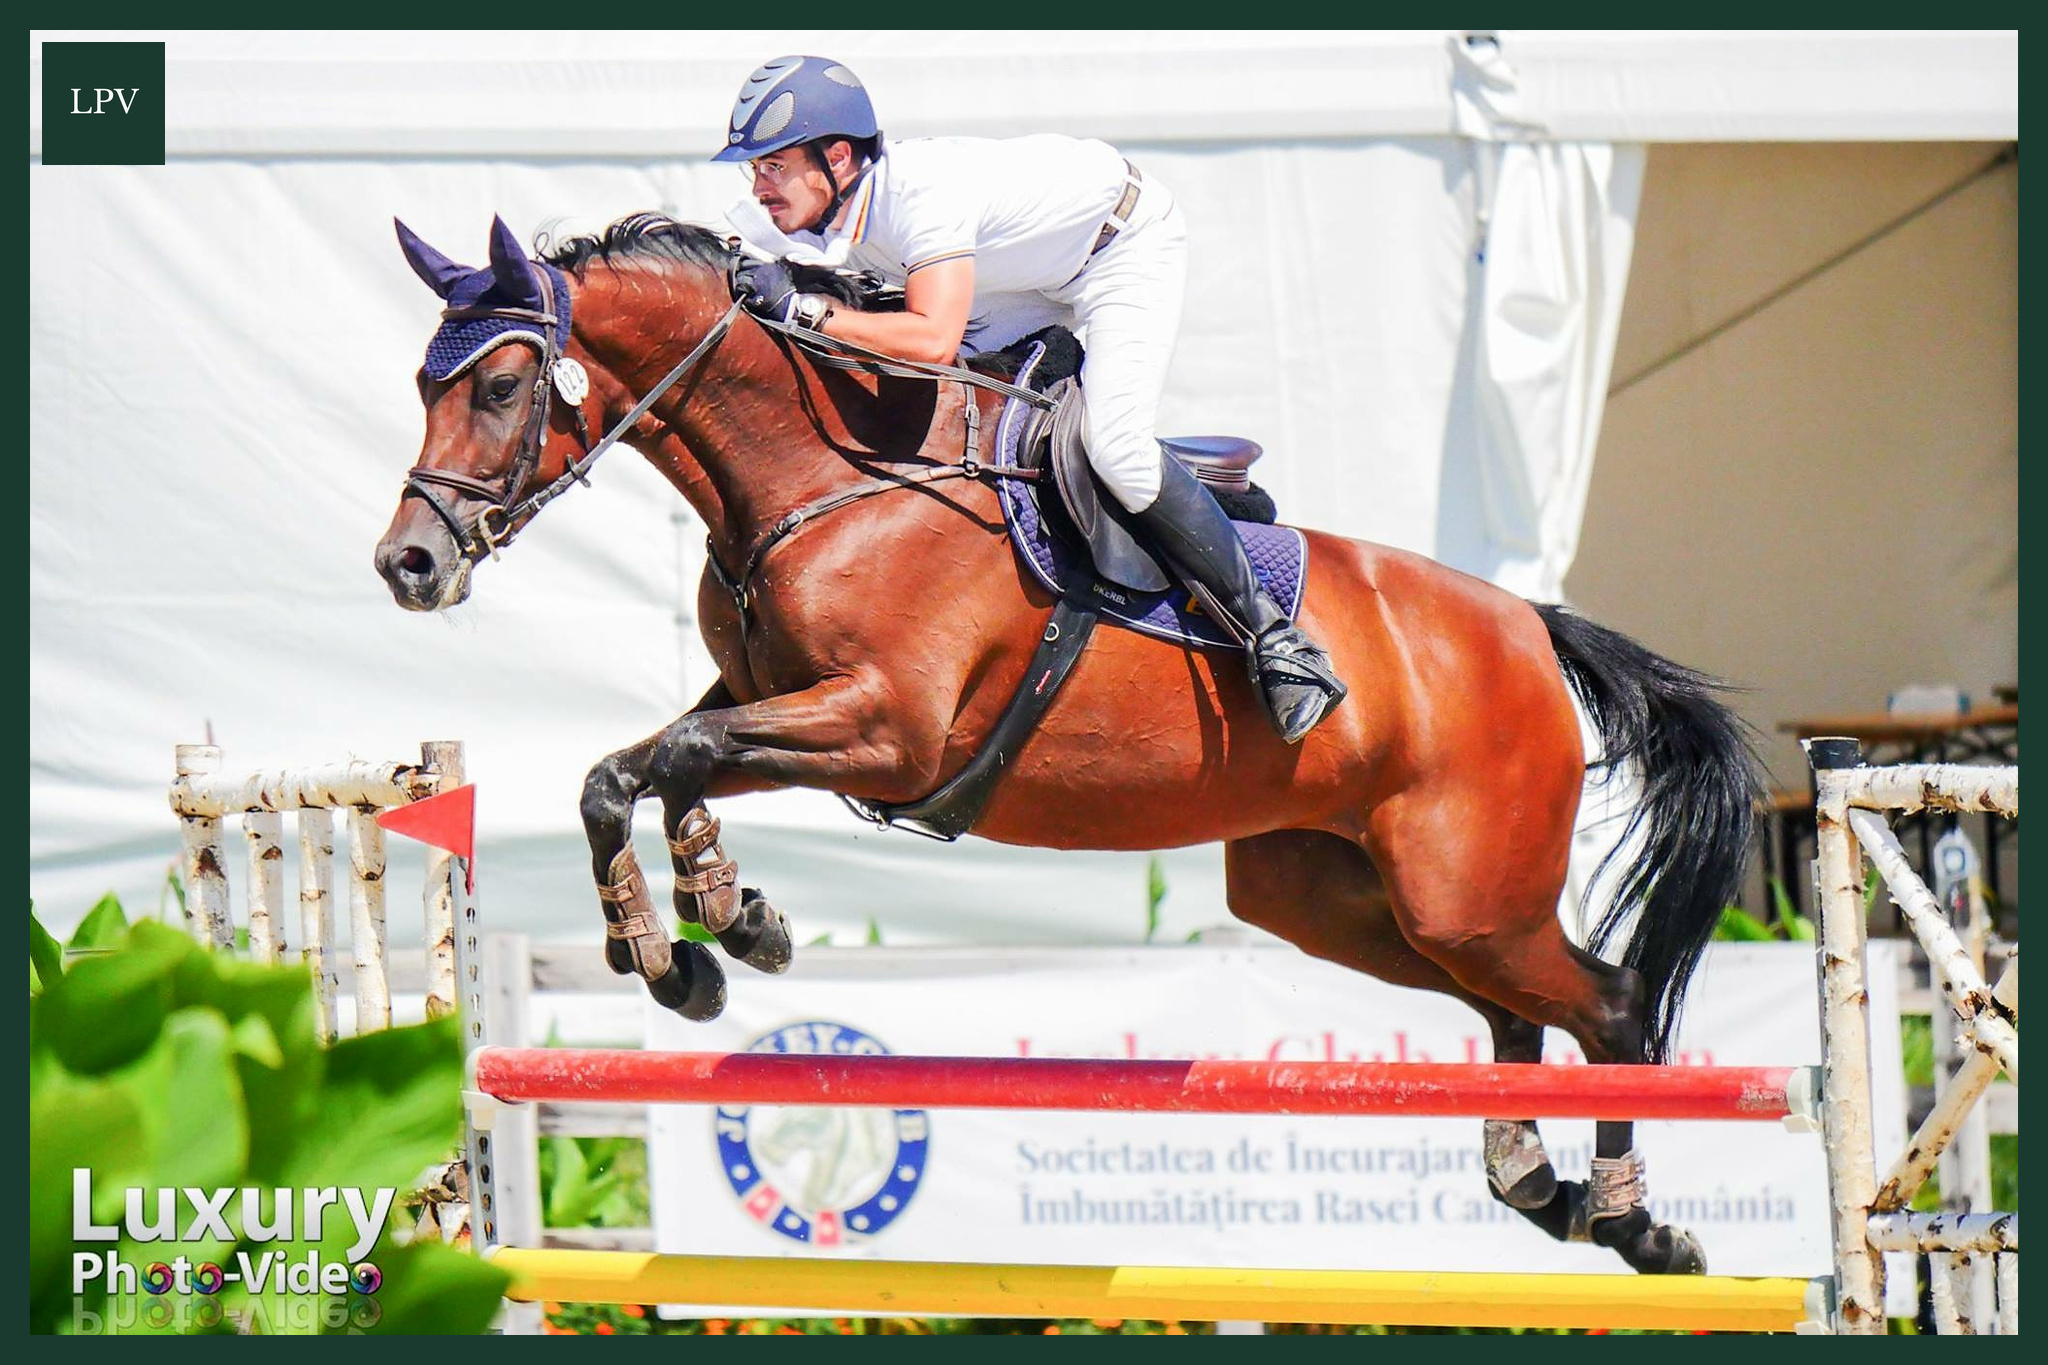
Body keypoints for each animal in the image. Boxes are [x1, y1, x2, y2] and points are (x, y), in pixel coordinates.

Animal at [374, 213, 1760, 1277]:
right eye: (424, 387)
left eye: (499, 387)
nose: (408, 565)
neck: (825, 476)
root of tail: (1526, 625)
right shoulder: (771, 696)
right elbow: (632, 771)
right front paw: (696, 944)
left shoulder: (886, 733)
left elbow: (669, 762)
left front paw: (710, 936)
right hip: (1340, 898)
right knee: (1513, 1012)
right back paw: (1538, 1183)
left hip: (1466, 893)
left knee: (1612, 1007)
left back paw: (1637, 1229)